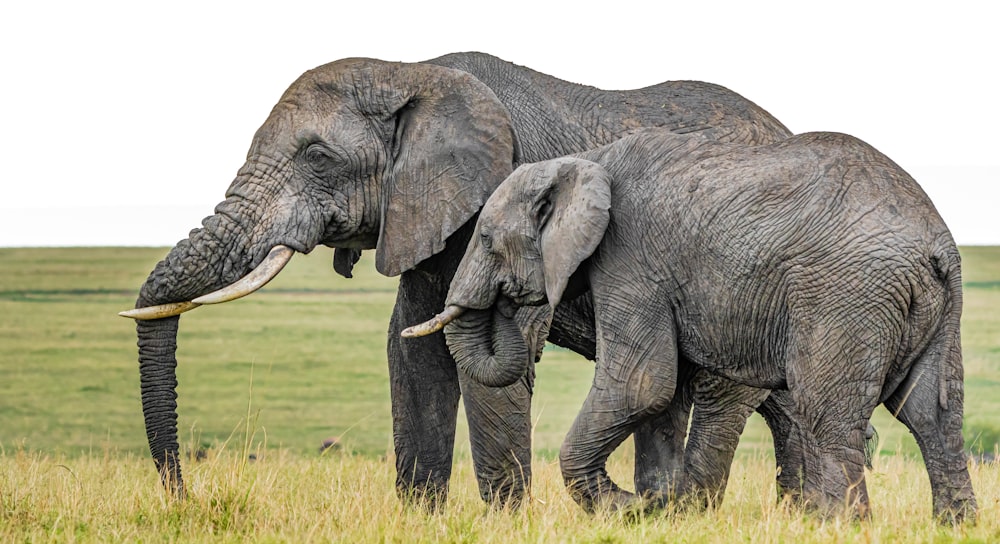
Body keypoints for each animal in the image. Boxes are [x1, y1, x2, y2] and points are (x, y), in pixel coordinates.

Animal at [123, 51, 788, 506]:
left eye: (317, 157)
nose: (186, 495)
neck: (409, 72)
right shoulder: (420, 221)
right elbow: (411, 355)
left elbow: (492, 362)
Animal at [406, 129, 976, 524]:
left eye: (484, 238)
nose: (508, 301)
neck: (586, 161)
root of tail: (938, 244)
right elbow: (665, 394)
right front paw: (659, 510)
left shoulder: (630, 257)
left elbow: (642, 384)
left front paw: (630, 509)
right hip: (937, 307)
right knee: (932, 413)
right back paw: (954, 526)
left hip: (845, 294)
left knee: (828, 413)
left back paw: (837, 527)